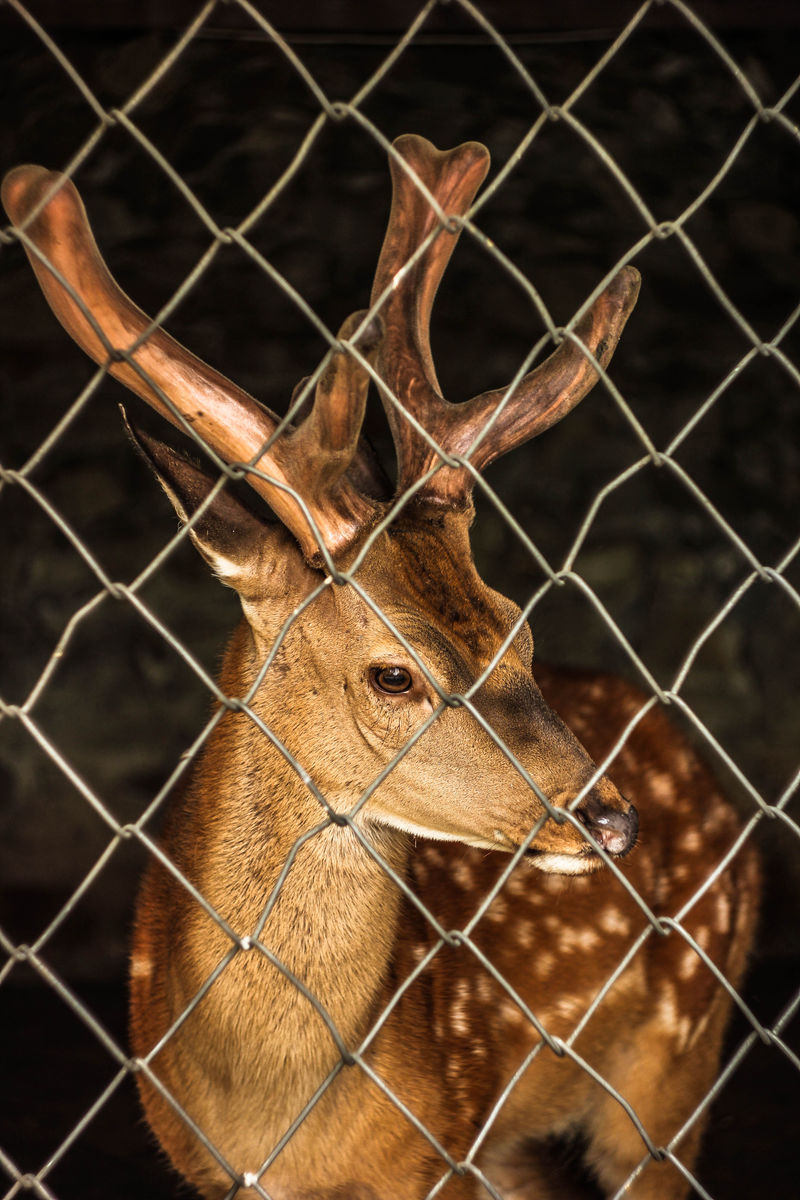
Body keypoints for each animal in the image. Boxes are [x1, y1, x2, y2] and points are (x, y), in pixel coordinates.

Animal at [3, 136, 762, 1200]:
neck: (268, 1115)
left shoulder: (438, 1148)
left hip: (677, 1061)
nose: (611, 819)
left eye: (516, 628)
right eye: (393, 675)